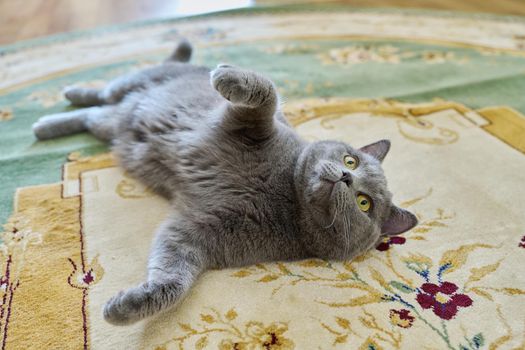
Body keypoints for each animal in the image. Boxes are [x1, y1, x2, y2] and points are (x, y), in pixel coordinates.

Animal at [32, 40, 418, 326]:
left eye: (365, 203)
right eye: (351, 159)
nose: (346, 176)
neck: (286, 194)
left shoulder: (199, 234)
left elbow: (174, 279)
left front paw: (128, 307)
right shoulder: (251, 123)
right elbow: (267, 93)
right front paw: (226, 76)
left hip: (115, 127)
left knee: (95, 115)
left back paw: (48, 124)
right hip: (138, 85)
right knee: (105, 92)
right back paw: (66, 99)